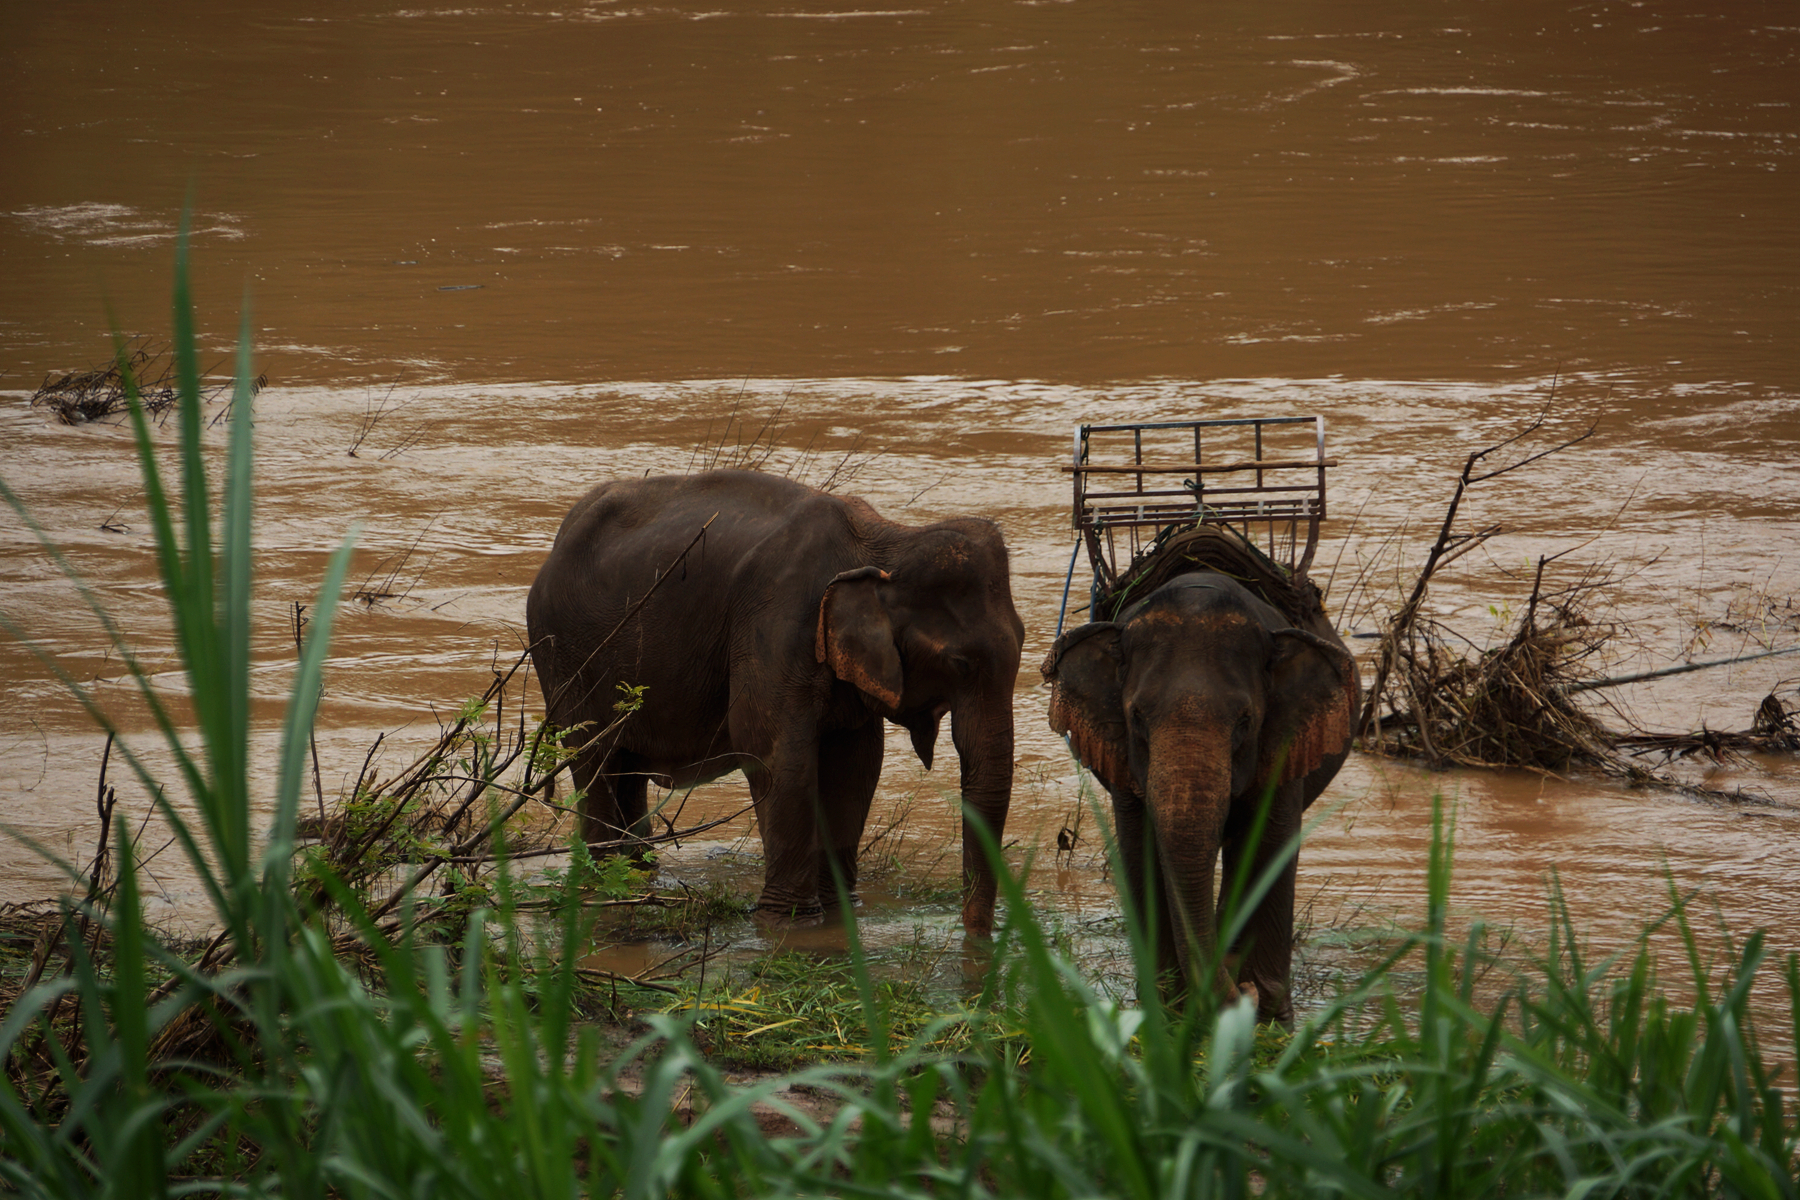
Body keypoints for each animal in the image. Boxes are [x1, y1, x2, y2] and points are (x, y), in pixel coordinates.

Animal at [525, 467, 1022, 935]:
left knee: (626, 768)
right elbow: (773, 752)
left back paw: (636, 877)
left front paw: (840, 912)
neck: (885, 540)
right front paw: (790, 923)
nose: (976, 932)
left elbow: (856, 763)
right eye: (960, 663)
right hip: (564, 656)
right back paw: (605, 882)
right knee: (593, 758)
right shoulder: (775, 621)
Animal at [1036, 539, 1353, 1029]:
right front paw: (1167, 1009)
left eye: (1245, 721)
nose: (1242, 993)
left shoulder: (1283, 740)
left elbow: (1268, 844)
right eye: (1136, 717)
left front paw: (1272, 1019)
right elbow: (1143, 850)